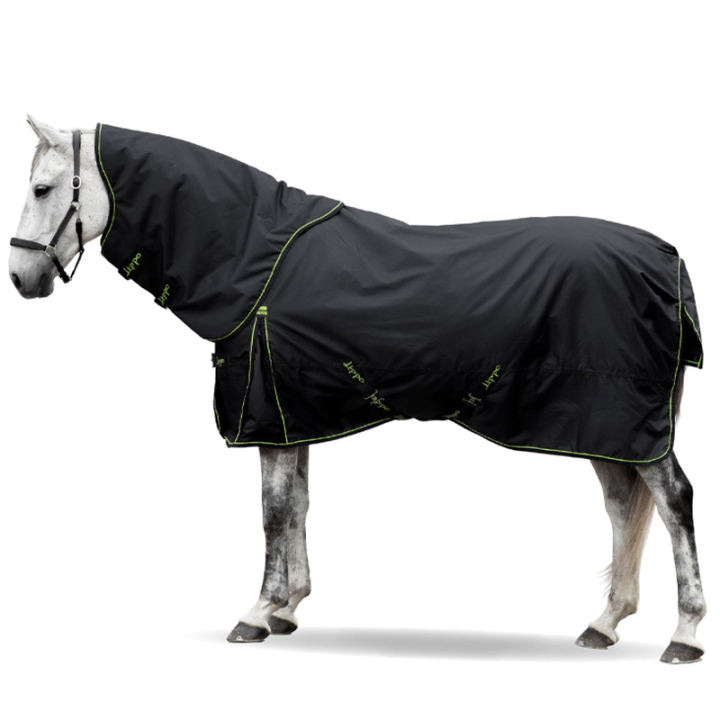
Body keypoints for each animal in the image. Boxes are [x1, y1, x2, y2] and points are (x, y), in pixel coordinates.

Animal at [9, 117, 707, 663]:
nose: (21, 277)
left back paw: (685, 635)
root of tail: (666, 257)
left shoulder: (266, 413)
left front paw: (257, 614)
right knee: (623, 506)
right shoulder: (292, 414)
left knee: (673, 500)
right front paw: (289, 608)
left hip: (623, 418)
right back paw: (604, 623)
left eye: (42, 189)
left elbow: (272, 512)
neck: (253, 259)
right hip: (604, 426)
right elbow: (298, 506)